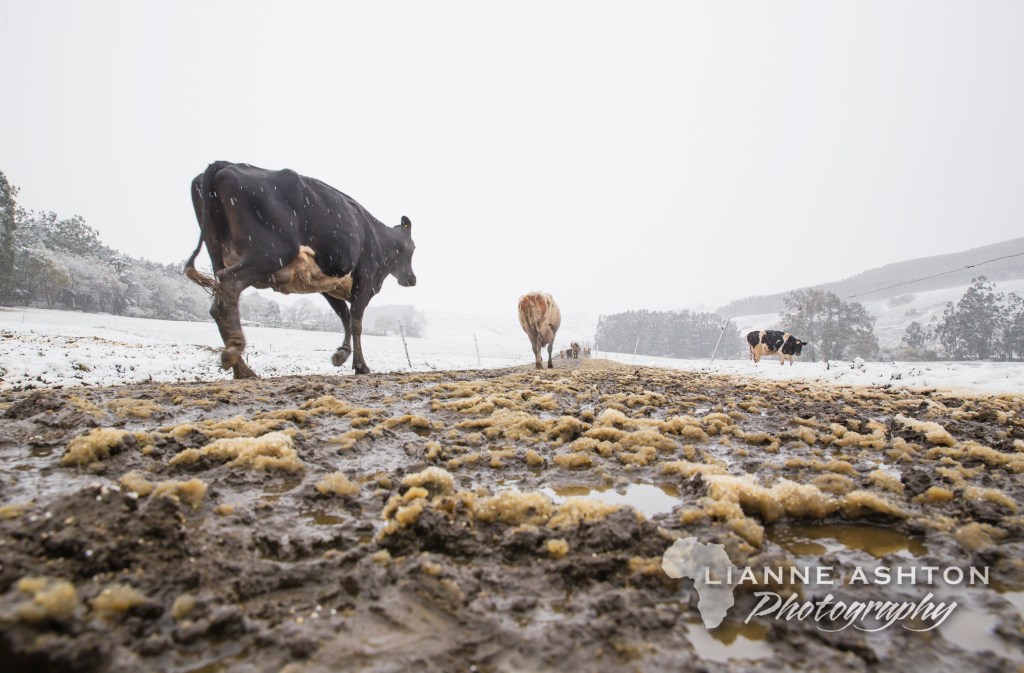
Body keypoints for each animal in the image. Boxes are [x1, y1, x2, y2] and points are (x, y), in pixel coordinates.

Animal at [185, 161, 417, 378]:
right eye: (413, 248)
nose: (412, 279)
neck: (380, 239)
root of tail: (225, 164)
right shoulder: (365, 280)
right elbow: (357, 322)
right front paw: (360, 365)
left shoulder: (328, 285)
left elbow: (345, 317)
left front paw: (341, 354)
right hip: (270, 251)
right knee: (230, 283)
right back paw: (234, 352)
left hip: (216, 250)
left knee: (217, 305)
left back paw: (242, 370)